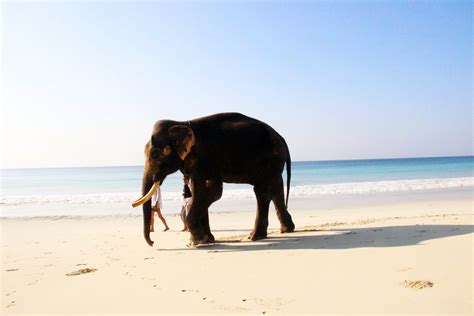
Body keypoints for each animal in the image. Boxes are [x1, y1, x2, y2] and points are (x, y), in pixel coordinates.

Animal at [133, 112, 294, 246]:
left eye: (155, 154)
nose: (153, 242)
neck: (183, 123)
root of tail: (282, 138)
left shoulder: (206, 158)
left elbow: (212, 191)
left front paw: (197, 242)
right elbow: (198, 190)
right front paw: (206, 240)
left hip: (271, 159)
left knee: (264, 190)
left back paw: (256, 236)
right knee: (273, 189)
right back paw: (281, 231)